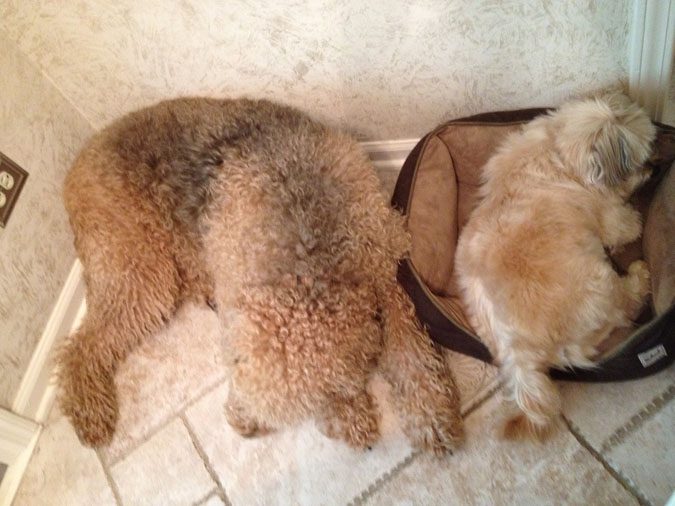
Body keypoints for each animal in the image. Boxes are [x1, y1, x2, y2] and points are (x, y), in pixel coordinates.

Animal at [59, 97, 464, 452]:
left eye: (330, 396)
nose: (243, 427)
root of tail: (75, 165)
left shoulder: (390, 269)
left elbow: (412, 354)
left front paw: (433, 417)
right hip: (141, 271)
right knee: (78, 347)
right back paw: (90, 413)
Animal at [456, 94, 656, 438]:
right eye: (639, 159)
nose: (654, 167)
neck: (558, 149)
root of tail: (519, 353)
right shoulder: (613, 219)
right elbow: (628, 225)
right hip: (601, 283)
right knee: (624, 306)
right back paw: (639, 277)